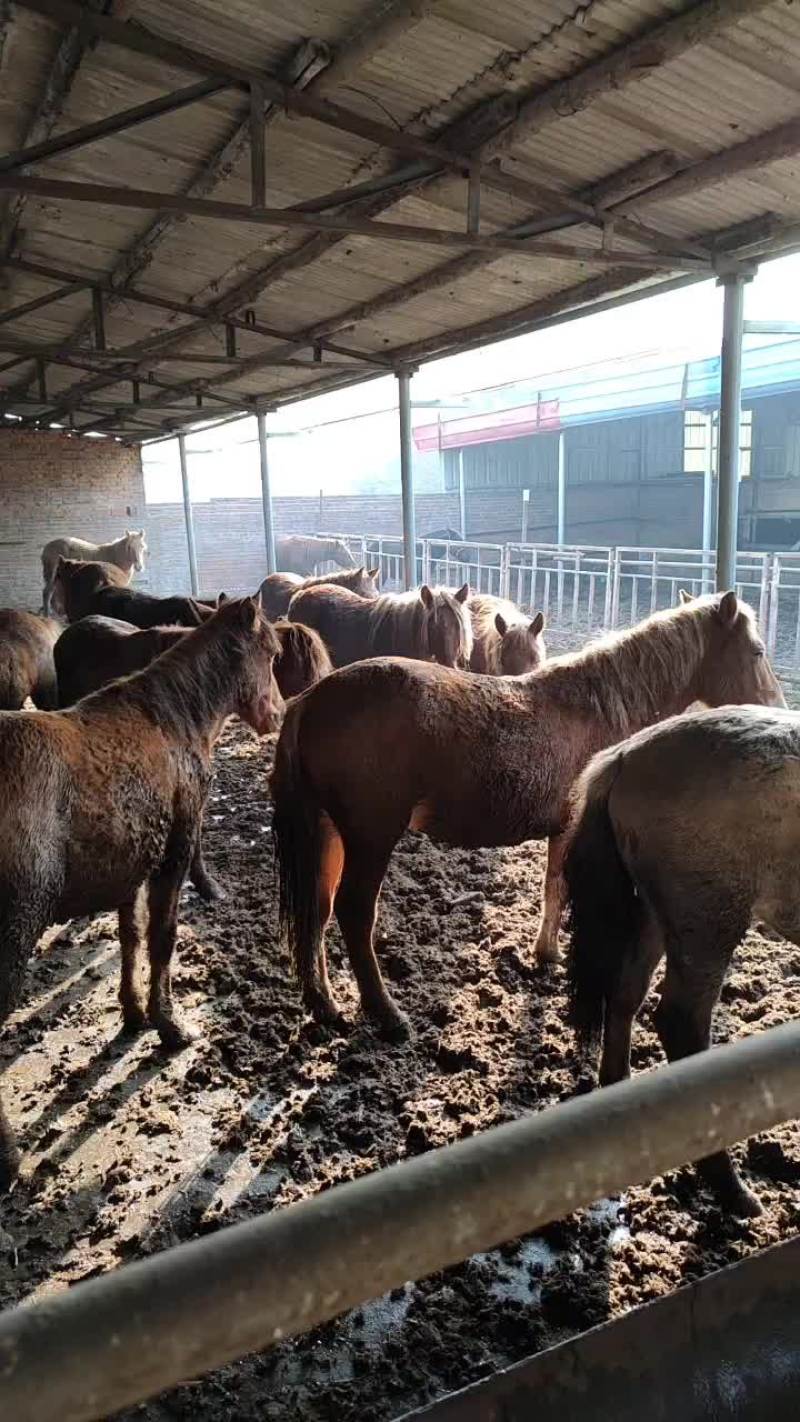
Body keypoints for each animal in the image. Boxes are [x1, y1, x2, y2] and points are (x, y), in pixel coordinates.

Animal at [0, 597, 282, 1192]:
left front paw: (132, 1013)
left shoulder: (130, 864)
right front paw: (169, 1024)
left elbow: (129, 935)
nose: (277, 713)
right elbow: (161, 937)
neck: (174, 720)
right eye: (271, 653)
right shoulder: (172, 854)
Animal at [564, 703, 800, 1218]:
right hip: (709, 920)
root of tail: (626, 755)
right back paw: (733, 1191)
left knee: (626, 992)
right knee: (680, 1022)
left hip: (656, 914)